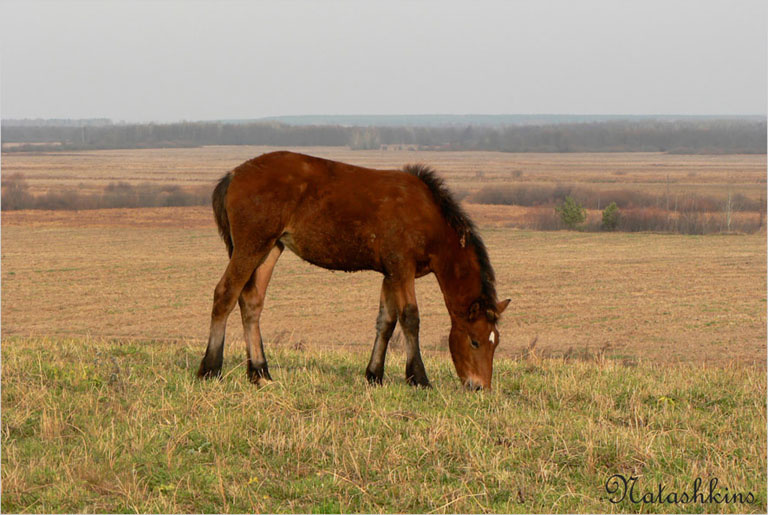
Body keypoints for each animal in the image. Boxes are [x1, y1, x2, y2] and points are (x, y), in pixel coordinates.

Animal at [197, 151, 510, 390]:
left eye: (495, 343)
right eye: (474, 341)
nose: (479, 387)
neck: (429, 217)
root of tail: (234, 174)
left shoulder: (390, 273)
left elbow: (386, 321)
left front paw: (374, 375)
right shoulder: (402, 268)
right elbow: (410, 318)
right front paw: (418, 378)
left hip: (271, 248)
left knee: (251, 302)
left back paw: (260, 372)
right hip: (251, 246)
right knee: (225, 294)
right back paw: (210, 369)